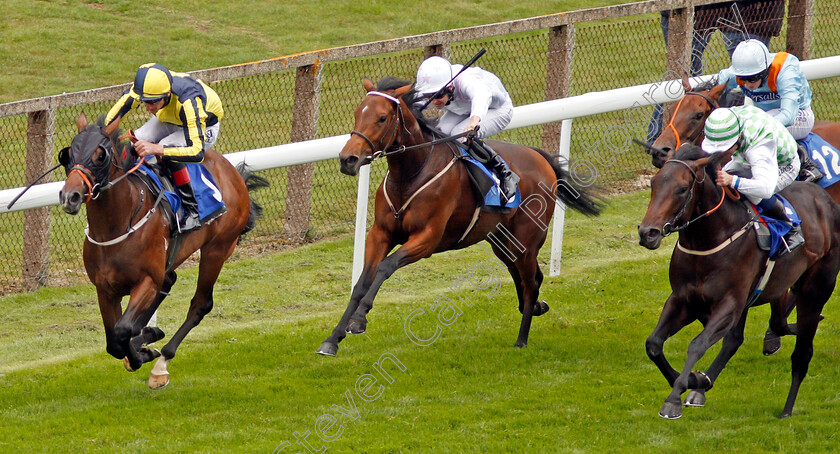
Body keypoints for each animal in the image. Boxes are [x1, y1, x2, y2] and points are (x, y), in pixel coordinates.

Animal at [58, 112, 266, 386]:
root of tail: (233, 172)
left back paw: (161, 364)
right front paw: (143, 343)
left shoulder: (146, 279)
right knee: (168, 281)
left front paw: (143, 354)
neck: (116, 225)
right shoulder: (105, 288)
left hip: (217, 249)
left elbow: (122, 330)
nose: (69, 196)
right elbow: (114, 342)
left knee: (201, 304)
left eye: (100, 156)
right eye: (67, 154)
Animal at [316, 76, 604, 356]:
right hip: (501, 240)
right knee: (525, 275)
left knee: (530, 281)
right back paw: (534, 307)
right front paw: (332, 339)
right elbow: (362, 282)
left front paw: (359, 320)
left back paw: (522, 340)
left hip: (527, 239)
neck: (412, 173)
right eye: (357, 113)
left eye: (382, 118)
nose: (348, 159)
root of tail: (541, 158)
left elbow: (385, 267)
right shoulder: (381, 233)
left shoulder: (427, 238)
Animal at [640, 145, 836, 418]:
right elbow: (654, 344)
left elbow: (698, 344)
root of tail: (824, 199)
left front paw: (673, 399)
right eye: (653, 184)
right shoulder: (684, 301)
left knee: (801, 352)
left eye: (682, 189)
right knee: (764, 329)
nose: (647, 233)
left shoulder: (729, 304)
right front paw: (695, 379)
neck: (708, 241)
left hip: (817, 286)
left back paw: (787, 409)